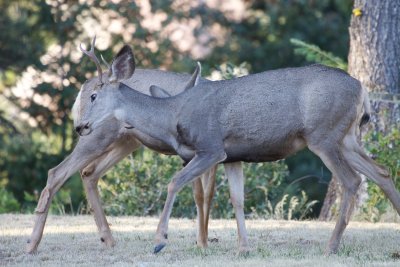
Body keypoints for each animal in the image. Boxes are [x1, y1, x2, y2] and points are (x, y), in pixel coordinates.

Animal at [25, 39, 250, 255]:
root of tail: (83, 89)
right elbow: (199, 195)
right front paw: (201, 243)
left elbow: (208, 195)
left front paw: (203, 241)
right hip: (96, 136)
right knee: (57, 173)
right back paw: (32, 244)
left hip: (125, 141)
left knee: (88, 173)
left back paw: (108, 239)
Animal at [76, 44, 400, 255]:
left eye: (94, 96)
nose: (80, 126)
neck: (172, 114)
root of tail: (362, 89)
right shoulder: (233, 156)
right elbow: (237, 199)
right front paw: (244, 247)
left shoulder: (210, 147)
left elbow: (174, 183)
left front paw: (160, 239)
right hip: (347, 137)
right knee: (381, 172)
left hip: (324, 135)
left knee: (353, 181)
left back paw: (331, 246)